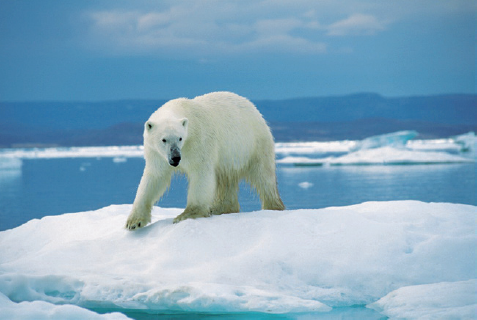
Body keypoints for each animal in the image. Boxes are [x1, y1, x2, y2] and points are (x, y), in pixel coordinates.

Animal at [124, 90, 284, 230]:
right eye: (164, 139)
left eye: (180, 138)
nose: (176, 158)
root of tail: (254, 109)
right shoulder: (156, 154)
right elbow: (154, 178)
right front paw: (134, 222)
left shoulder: (199, 141)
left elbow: (200, 174)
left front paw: (185, 215)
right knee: (225, 181)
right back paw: (220, 208)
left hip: (252, 144)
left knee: (263, 177)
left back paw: (273, 207)